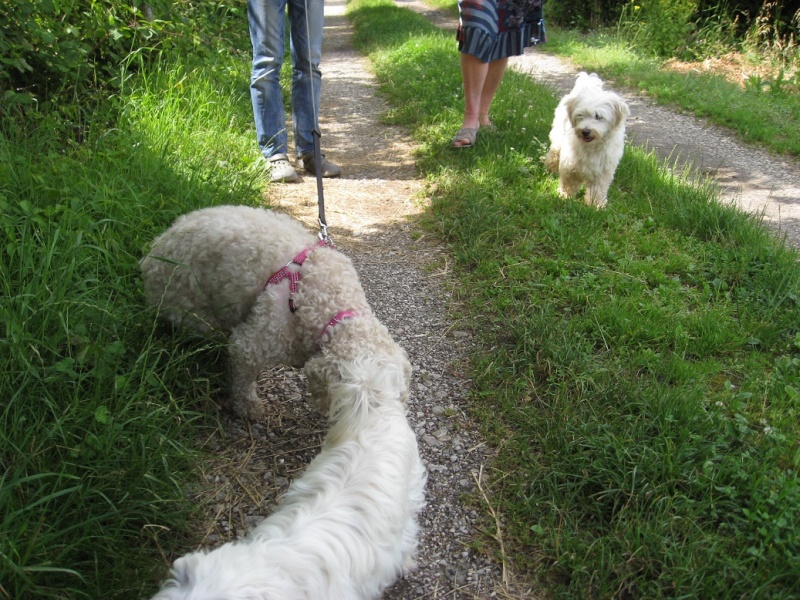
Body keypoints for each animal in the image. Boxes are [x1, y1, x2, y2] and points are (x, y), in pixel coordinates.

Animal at [139, 204, 412, 420]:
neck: (333, 304)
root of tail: (152, 251)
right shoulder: (251, 345)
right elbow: (243, 381)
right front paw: (248, 408)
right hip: (187, 306)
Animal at [544, 72, 632, 209]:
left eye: (598, 116)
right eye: (580, 115)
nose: (585, 131)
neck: (592, 146)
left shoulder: (603, 171)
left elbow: (598, 189)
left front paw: (596, 205)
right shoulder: (570, 164)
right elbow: (568, 182)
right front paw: (564, 197)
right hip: (558, 138)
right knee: (554, 153)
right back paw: (551, 168)